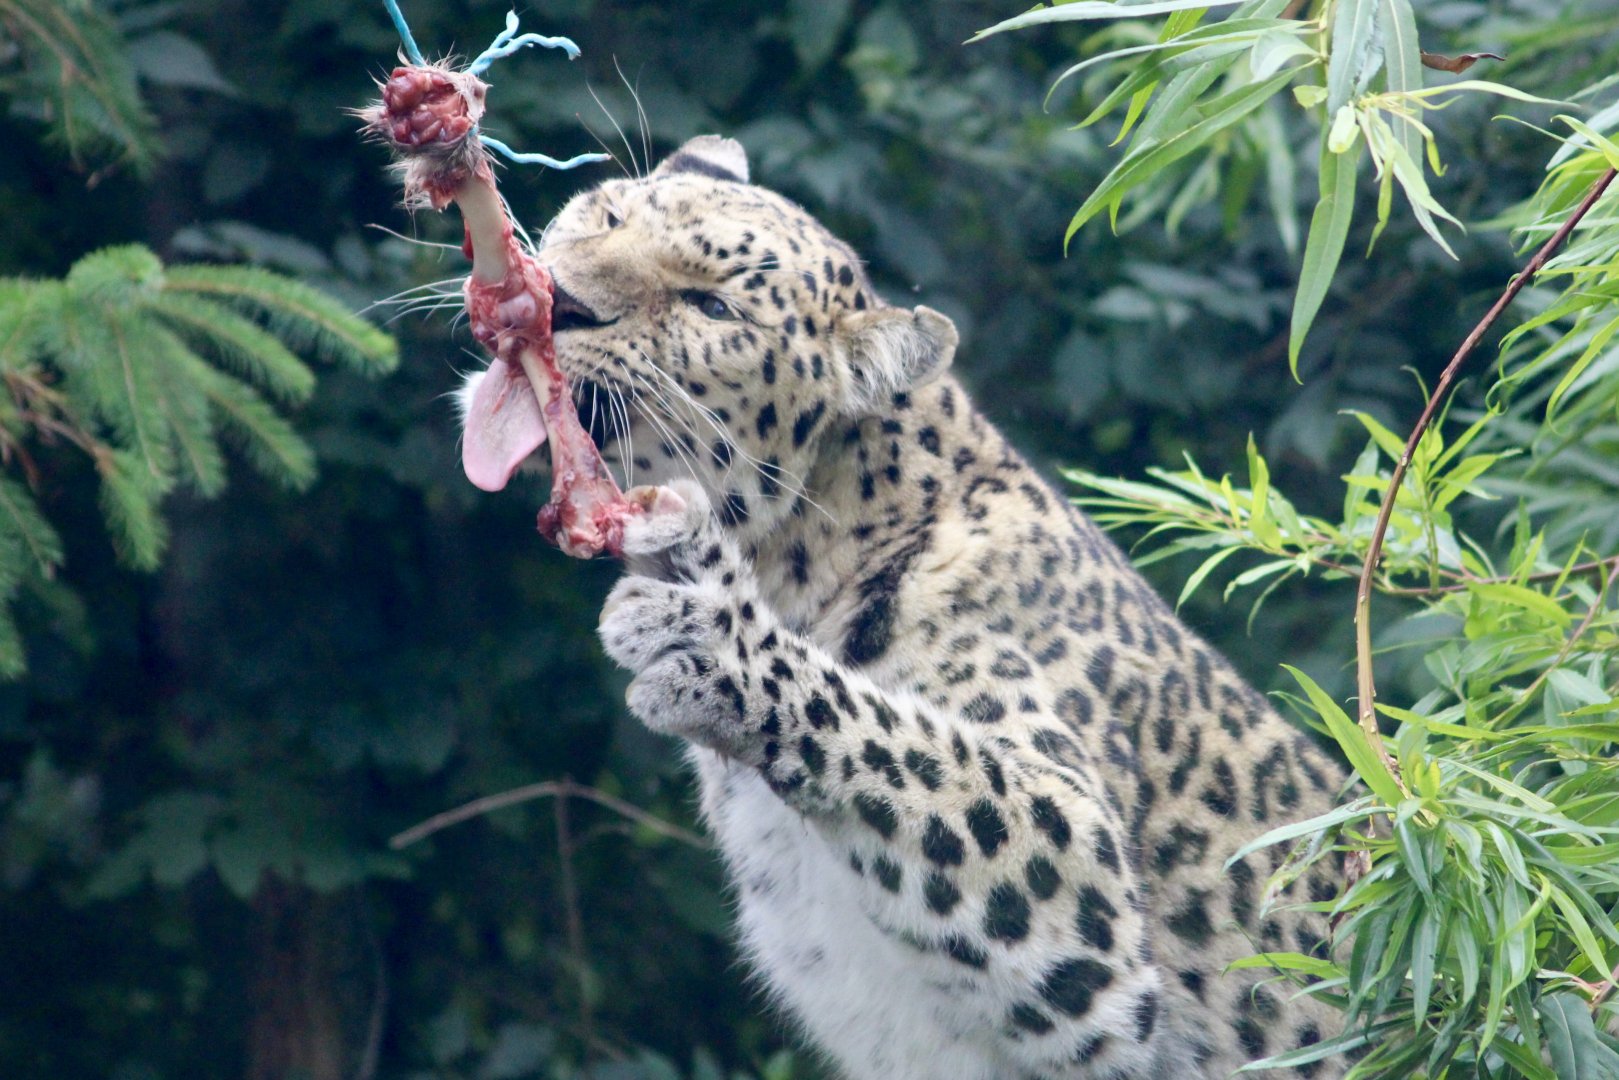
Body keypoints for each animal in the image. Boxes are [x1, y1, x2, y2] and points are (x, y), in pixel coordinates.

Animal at [462, 134, 1350, 1079]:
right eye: (609, 213)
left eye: (709, 305)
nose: (556, 304)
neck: (804, 556)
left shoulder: (1096, 926)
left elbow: (911, 747)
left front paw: (712, 632)